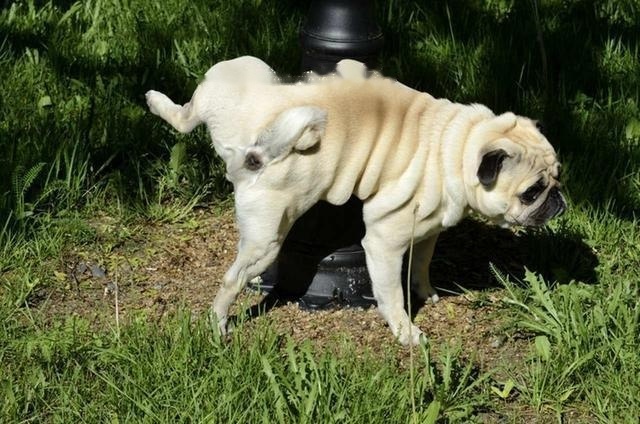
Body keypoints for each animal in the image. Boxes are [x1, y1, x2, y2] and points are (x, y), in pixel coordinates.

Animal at [146, 56, 566, 345]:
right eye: (532, 192)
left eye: (558, 176)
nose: (558, 199)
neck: (456, 144)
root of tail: (250, 147)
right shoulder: (383, 242)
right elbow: (392, 295)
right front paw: (406, 333)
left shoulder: (428, 231)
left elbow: (421, 265)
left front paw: (427, 293)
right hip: (267, 241)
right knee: (231, 280)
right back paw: (219, 325)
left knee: (185, 115)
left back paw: (155, 101)